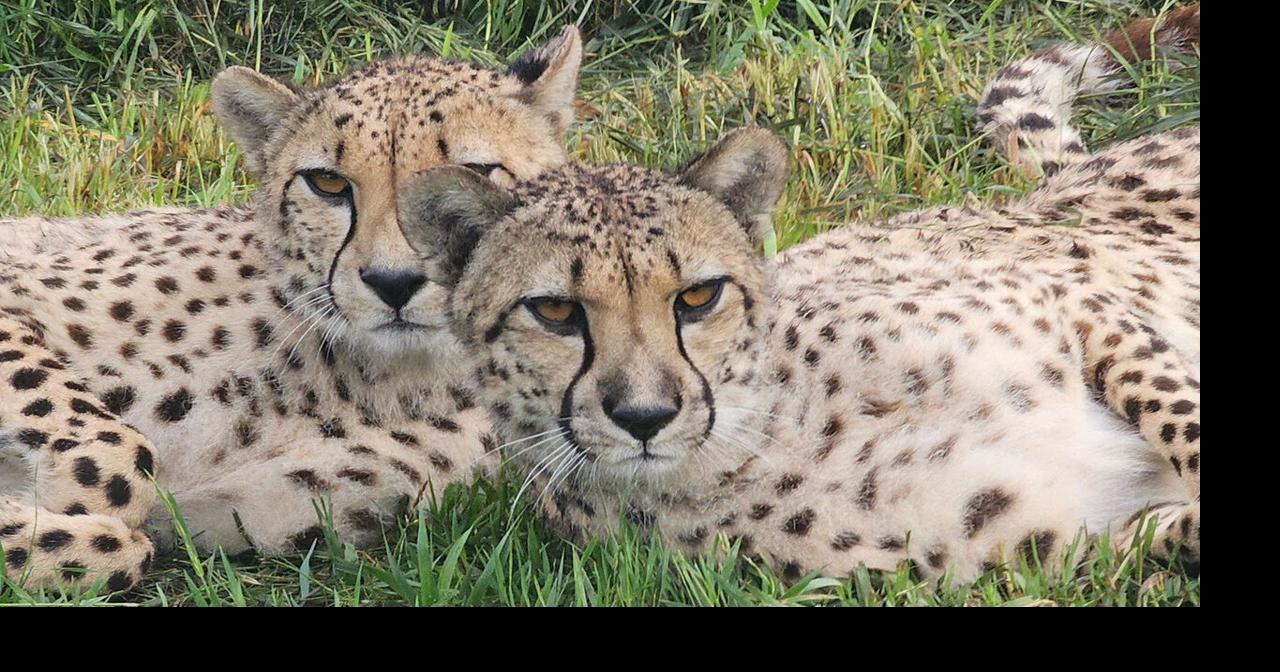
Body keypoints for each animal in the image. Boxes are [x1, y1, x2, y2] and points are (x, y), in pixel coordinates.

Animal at [420, 7, 1199, 583]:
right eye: (554, 311)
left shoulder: (1076, 305)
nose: (645, 417)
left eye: (698, 297)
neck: (762, 443)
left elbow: (1180, 421)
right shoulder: (1078, 543)